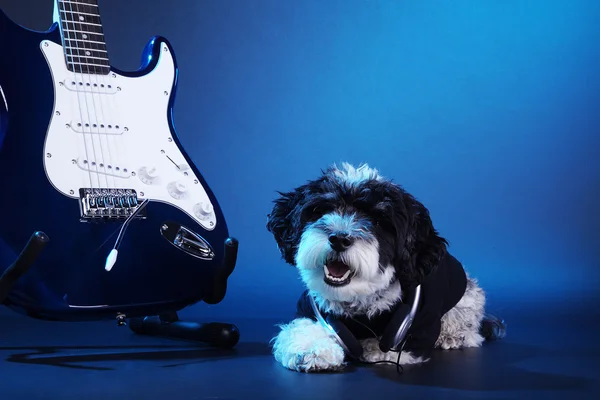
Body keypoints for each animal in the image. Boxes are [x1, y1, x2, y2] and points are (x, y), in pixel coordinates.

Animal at [264, 162, 504, 372]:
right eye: (321, 210)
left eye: (379, 222)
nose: (339, 239)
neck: (357, 301)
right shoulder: (308, 308)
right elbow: (301, 327)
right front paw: (312, 349)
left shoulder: (420, 327)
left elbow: (394, 346)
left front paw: (372, 348)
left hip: (465, 295)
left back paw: (454, 336)